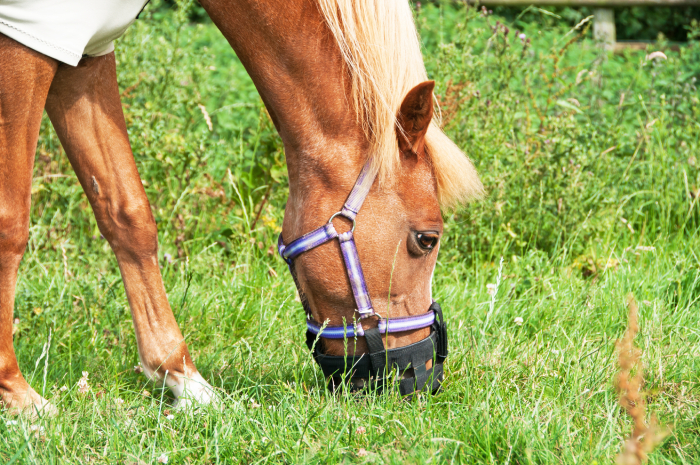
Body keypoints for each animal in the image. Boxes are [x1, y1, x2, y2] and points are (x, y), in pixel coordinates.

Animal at [0, 0, 483, 415]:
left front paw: (184, 380)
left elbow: (127, 213)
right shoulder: (25, 38)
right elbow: (11, 223)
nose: (425, 375)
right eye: (427, 239)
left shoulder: (85, 51)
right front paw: (19, 398)